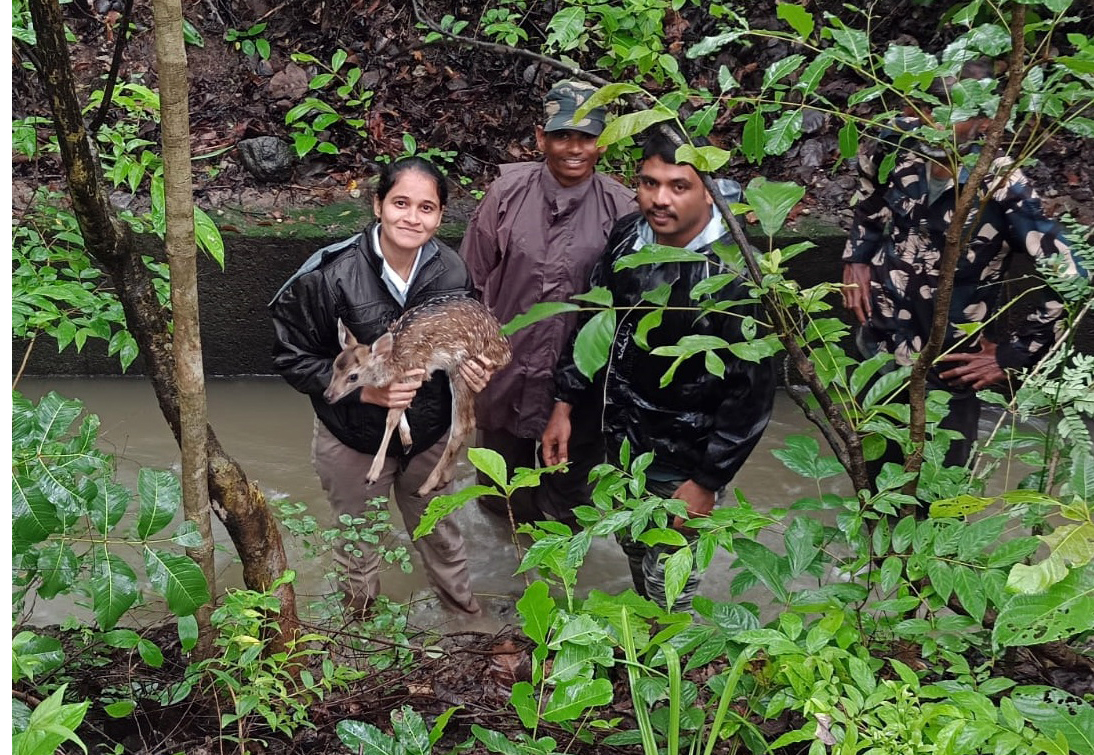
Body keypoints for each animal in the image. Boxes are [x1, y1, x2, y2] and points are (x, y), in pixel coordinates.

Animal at [323, 296, 512, 496]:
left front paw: (373, 473)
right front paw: (407, 440)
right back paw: (443, 478)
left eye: (353, 376)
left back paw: (425, 486)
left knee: (462, 425)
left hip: (463, 365)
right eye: (334, 365)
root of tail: (506, 353)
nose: (327, 395)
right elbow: (398, 406)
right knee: (470, 421)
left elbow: (391, 417)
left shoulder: (416, 369)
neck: (395, 360)